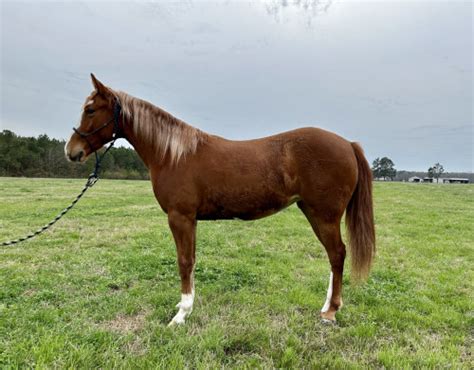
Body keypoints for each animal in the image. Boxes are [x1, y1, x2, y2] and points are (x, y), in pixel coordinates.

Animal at [65, 73, 374, 326]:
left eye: (90, 109)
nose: (72, 151)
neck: (173, 154)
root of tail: (348, 144)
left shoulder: (180, 217)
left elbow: (184, 261)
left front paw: (181, 315)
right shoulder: (190, 220)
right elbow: (191, 260)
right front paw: (185, 306)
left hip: (324, 215)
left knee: (337, 254)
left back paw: (331, 311)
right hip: (313, 212)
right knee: (334, 257)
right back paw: (327, 306)